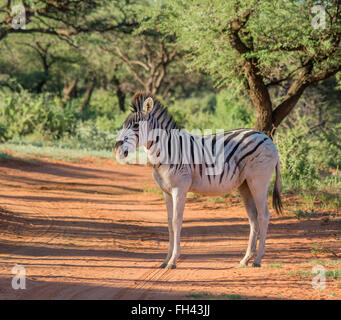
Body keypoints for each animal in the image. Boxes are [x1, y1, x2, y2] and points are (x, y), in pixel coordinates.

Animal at [114, 91, 282, 268]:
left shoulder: (179, 189)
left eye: (135, 126)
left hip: (258, 182)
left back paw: (258, 259)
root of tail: (267, 139)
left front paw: (173, 261)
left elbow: (176, 222)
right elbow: (169, 224)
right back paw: (245, 259)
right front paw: (165, 260)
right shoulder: (166, 192)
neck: (166, 151)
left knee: (264, 215)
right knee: (253, 217)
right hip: (245, 185)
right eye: (124, 125)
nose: (117, 150)